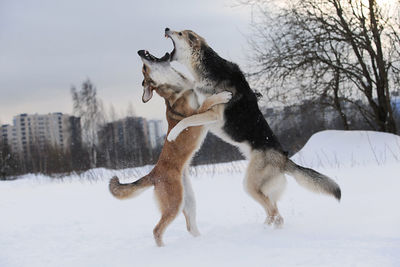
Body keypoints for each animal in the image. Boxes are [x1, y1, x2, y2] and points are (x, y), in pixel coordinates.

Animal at [108, 50, 231, 247]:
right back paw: (163, 249)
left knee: (190, 227)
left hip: (188, 201)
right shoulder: (196, 114)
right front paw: (222, 96)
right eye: (143, 68)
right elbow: (207, 103)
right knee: (157, 230)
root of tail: (153, 173)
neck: (181, 87)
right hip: (174, 204)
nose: (140, 51)